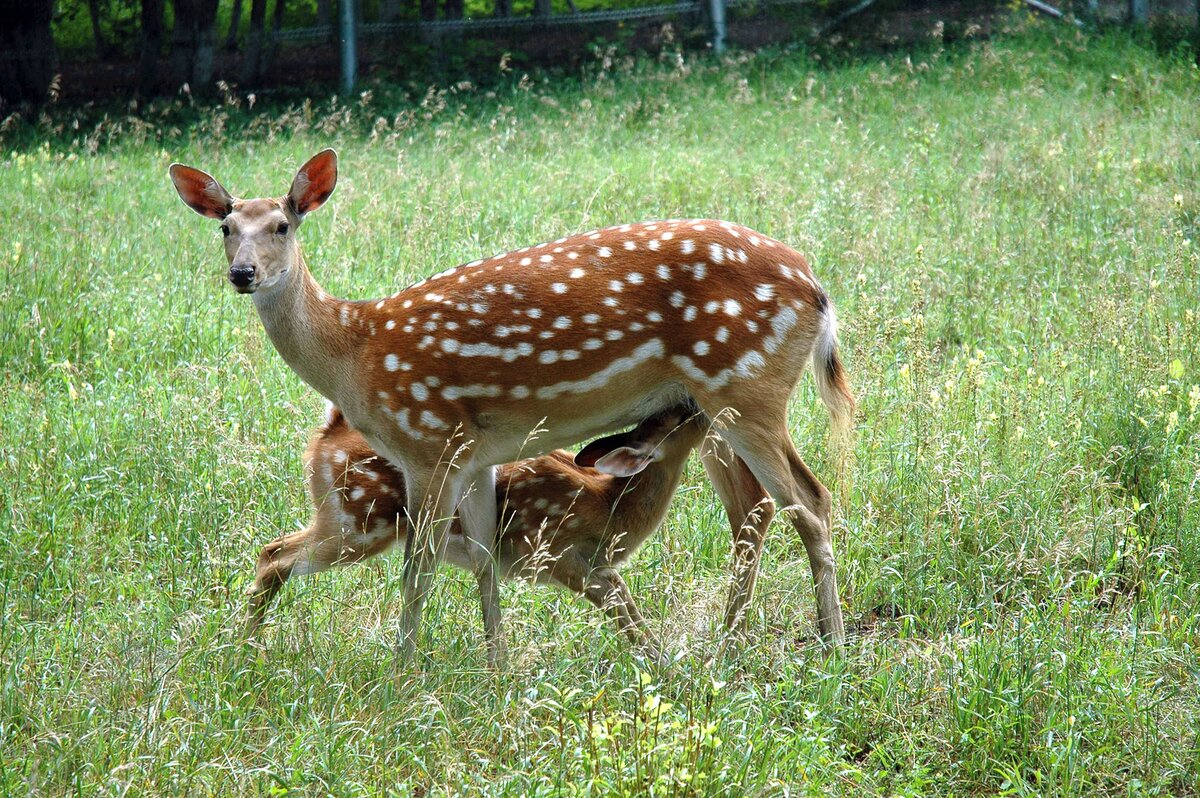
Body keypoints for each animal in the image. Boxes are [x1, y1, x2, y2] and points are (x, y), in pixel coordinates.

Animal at [247, 405, 705, 657]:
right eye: (679, 416)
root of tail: (331, 431)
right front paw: (673, 675)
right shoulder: (560, 555)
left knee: (273, 552)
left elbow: (630, 608)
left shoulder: (594, 565)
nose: (701, 405)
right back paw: (247, 649)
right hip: (357, 522)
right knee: (274, 555)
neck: (610, 507)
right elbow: (625, 615)